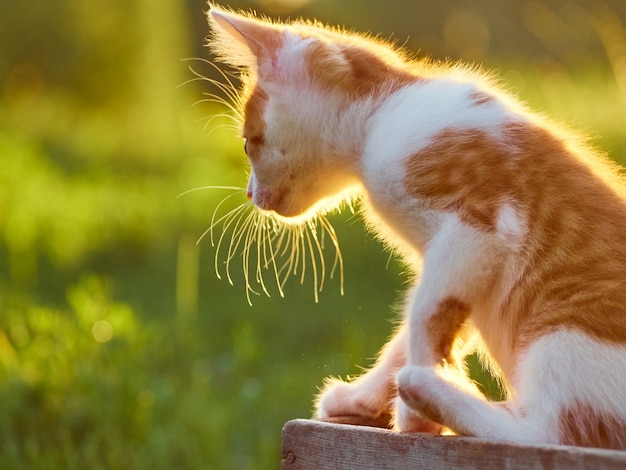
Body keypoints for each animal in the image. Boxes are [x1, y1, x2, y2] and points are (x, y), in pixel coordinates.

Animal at [207, 4, 624, 448]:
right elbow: (412, 328)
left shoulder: (482, 226)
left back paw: (426, 389)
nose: (250, 193)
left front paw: (416, 417)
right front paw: (363, 400)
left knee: (550, 434)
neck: (384, 115)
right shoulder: (456, 263)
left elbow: (425, 313)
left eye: (249, 143)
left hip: (564, 333)